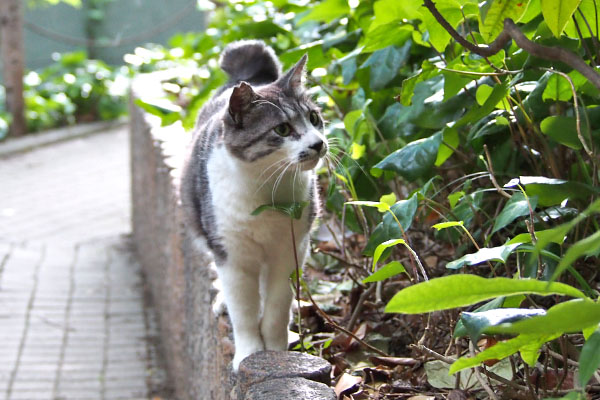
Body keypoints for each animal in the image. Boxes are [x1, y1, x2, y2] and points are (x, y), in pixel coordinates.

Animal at [180, 39, 328, 368]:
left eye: (313, 118)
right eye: (282, 129)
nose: (318, 143)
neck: (267, 189)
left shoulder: (290, 250)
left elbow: (276, 307)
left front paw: (275, 351)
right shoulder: (232, 254)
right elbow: (243, 311)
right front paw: (248, 353)